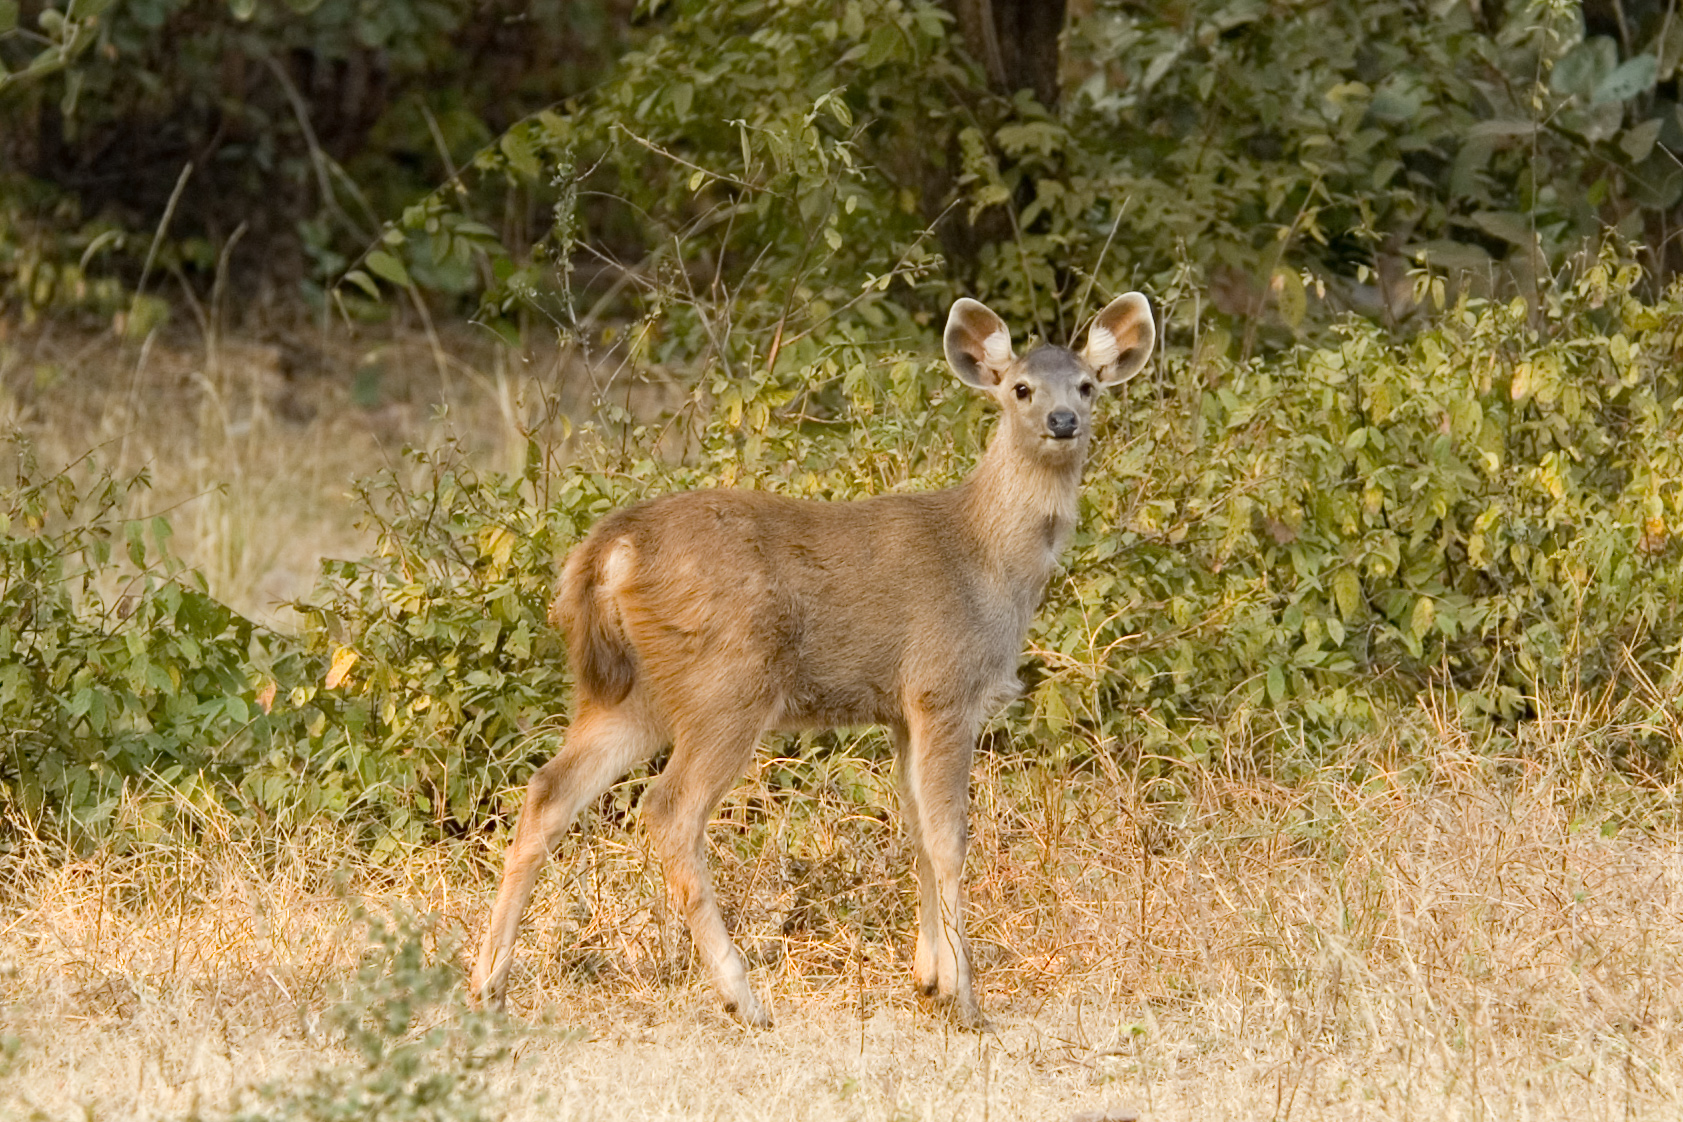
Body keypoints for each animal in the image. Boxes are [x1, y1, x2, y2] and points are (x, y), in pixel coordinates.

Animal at [474, 289, 1157, 1029]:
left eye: (1087, 385)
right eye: (1020, 387)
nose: (1063, 421)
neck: (987, 561)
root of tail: (611, 548)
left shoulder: (900, 709)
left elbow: (917, 830)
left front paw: (928, 980)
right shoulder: (944, 686)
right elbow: (950, 837)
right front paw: (968, 1002)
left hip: (631, 693)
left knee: (548, 791)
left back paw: (488, 986)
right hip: (728, 681)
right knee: (669, 808)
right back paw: (742, 997)